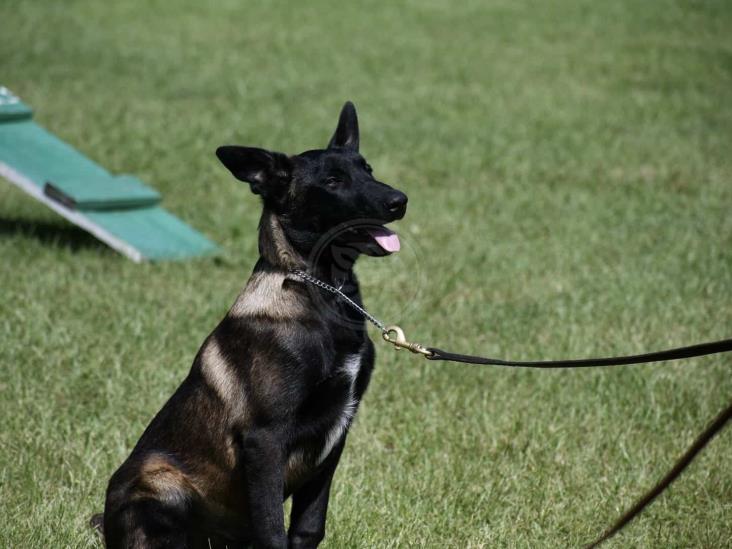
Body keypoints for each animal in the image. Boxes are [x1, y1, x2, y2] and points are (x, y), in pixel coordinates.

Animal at [93, 103, 406, 548]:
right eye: (333, 181)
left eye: (368, 169)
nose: (401, 201)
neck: (322, 292)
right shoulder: (265, 439)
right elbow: (273, 529)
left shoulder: (336, 437)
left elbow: (308, 527)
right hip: (162, 482)